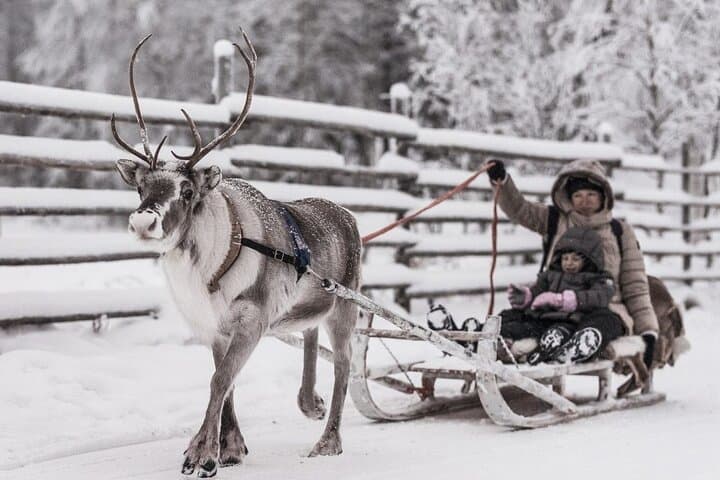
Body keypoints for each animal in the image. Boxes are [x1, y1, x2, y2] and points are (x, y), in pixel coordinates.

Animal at [111, 32, 361, 478]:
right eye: (141, 188)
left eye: (187, 191)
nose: (142, 221)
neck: (208, 270)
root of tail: (348, 216)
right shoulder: (214, 326)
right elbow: (224, 381)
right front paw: (230, 448)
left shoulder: (252, 320)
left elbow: (219, 380)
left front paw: (201, 453)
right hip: (310, 301)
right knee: (311, 331)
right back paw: (309, 402)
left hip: (345, 304)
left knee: (344, 361)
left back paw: (328, 440)